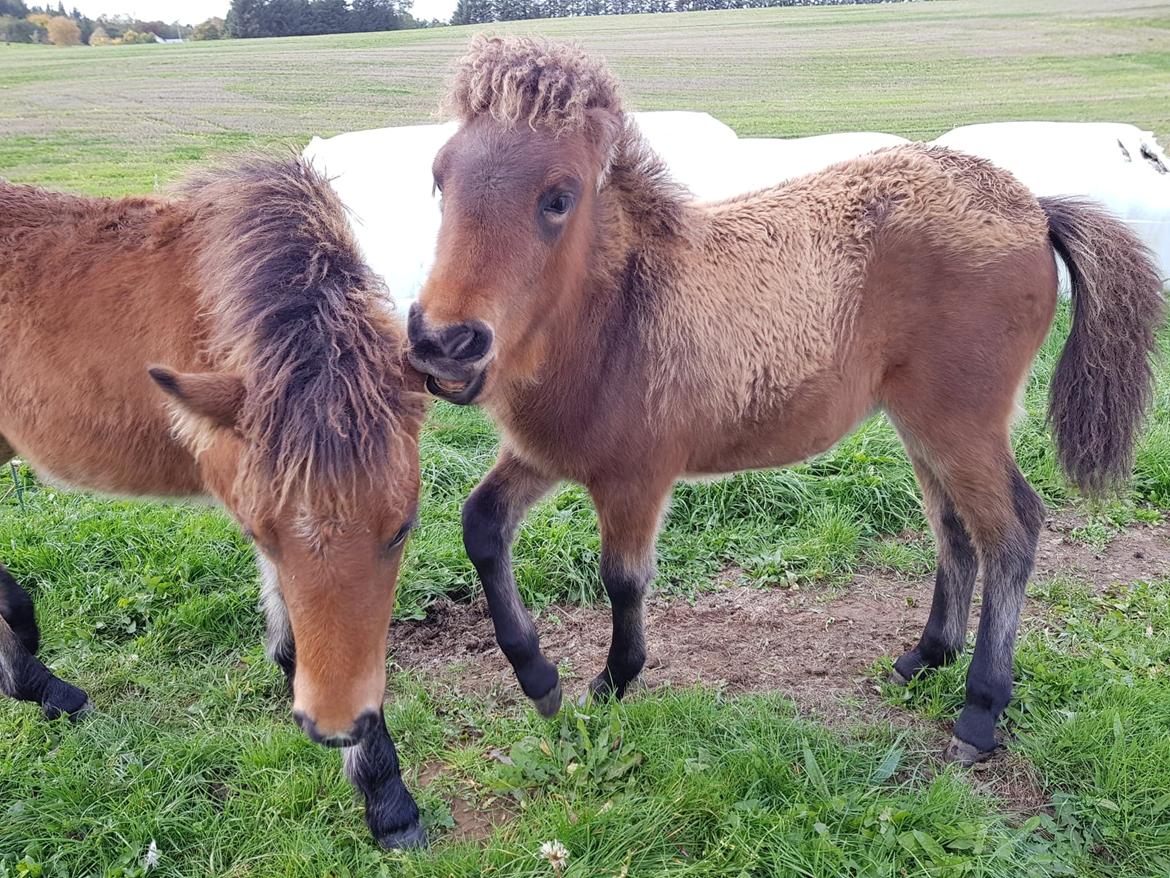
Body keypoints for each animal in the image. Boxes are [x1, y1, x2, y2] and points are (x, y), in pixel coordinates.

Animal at [409, 36, 1160, 763]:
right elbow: (481, 526)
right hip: (921, 422)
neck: (624, 309)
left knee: (1011, 531)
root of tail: (1034, 208)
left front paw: (613, 679)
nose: (444, 343)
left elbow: (622, 580)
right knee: (954, 529)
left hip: (961, 421)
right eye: (440, 178)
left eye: (559, 197)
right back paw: (925, 656)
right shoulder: (547, 452)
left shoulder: (635, 476)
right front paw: (538, 678)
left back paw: (979, 709)